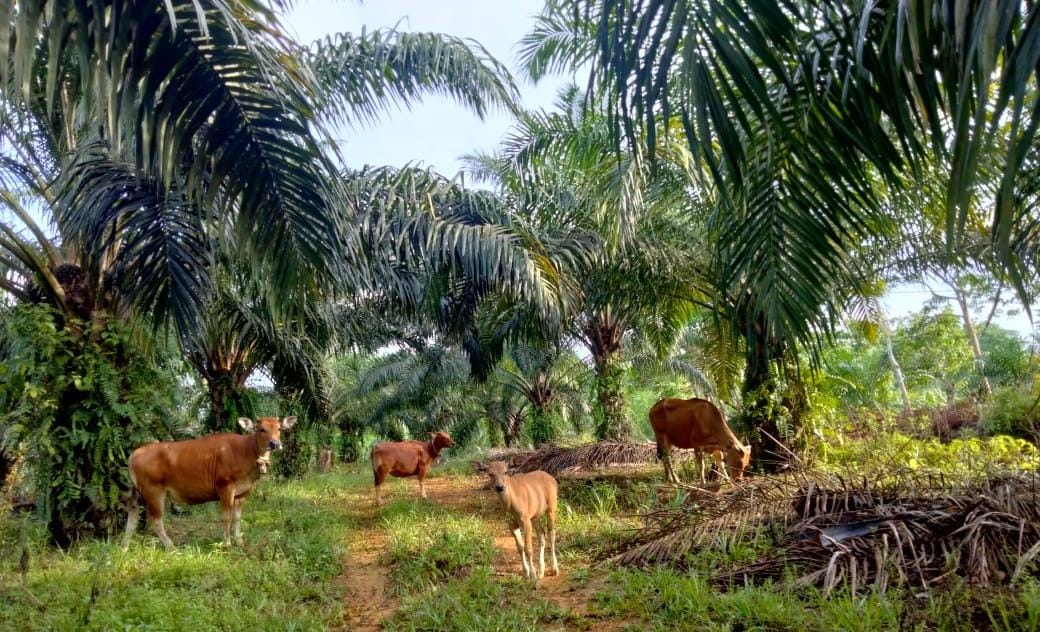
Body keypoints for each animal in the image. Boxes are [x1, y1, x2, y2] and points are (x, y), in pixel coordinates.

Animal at [120, 415, 297, 548]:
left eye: (279, 429)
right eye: (261, 429)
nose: (274, 444)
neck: (246, 450)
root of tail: (134, 454)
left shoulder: (243, 492)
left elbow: (238, 517)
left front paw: (239, 541)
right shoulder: (225, 487)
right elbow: (227, 517)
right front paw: (227, 543)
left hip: (139, 493)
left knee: (133, 516)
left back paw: (124, 547)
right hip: (154, 492)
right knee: (155, 521)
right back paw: (171, 547)